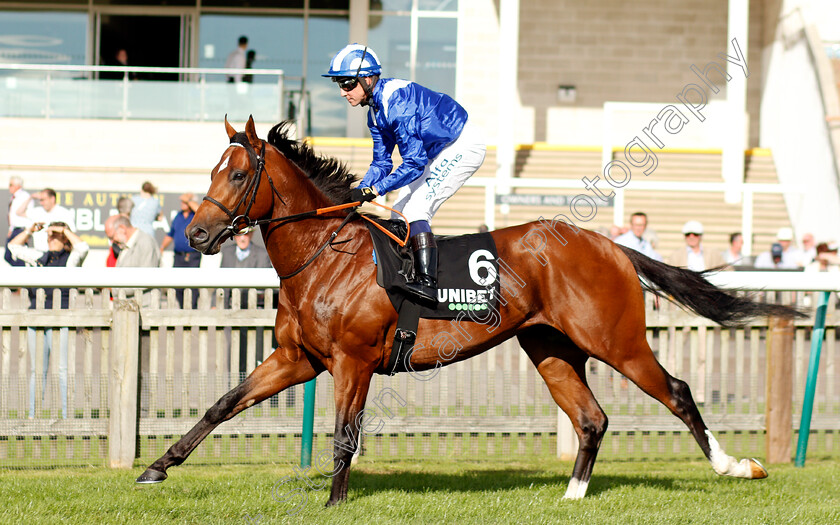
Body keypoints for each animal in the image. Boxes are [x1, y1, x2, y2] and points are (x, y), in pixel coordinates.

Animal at [138, 117, 800, 504]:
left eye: (238, 173)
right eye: (213, 170)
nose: (196, 235)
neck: (324, 256)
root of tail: (611, 244)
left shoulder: (353, 361)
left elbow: (344, 435)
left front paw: (334, 502)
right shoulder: (297, 357)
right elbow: (223, 404)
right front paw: (157, 468)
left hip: (616, 340)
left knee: (678, 392)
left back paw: (735, 467)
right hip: (550, 346)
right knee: (591, 418)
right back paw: (571, 497)